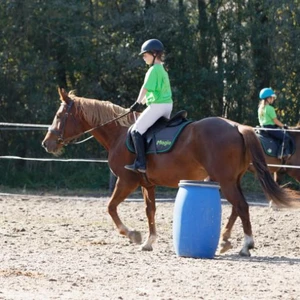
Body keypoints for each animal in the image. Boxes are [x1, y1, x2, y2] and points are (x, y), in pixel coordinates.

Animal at [41, 88, 292, 256]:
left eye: (59, 116)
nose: (47, 143)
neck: (119, 134)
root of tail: (237, 126)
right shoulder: (147, 184)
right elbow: (150, 210)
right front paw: (148, 241)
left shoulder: (126, 180)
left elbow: (111, 207)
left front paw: (133, 235)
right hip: (230, 179)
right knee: (236, 208)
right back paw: (225, 241)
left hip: (225, 180)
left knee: (241, 206)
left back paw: (245, 245)